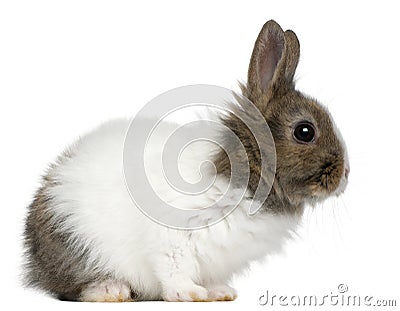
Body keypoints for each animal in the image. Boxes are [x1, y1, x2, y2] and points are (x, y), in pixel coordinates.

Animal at [22, 19, 350, 302]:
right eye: (305, 131)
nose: (346, 174)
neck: (242, 169)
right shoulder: (172, 236)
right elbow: (173, 268)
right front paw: (188, 294)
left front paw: (219, 292)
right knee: (70, 285)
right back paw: (110, 290)